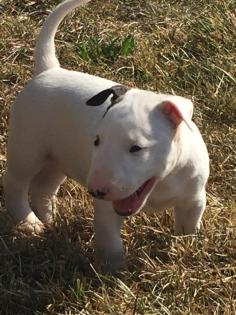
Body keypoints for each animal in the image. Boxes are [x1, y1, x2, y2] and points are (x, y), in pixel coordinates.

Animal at [3, 0, 208, 272]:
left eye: (136, 148)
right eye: (97, 141)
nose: (97, 191)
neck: (160, 184)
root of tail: (49, 71)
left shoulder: (193, 199)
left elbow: (187, 228)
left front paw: (185, 251)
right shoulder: (107, 211)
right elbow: (111, 243)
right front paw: (115, 273)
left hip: (59, 158)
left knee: (43, 187)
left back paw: (48, 218)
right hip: (27, 149)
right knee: (15, 184)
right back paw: (29, 224)